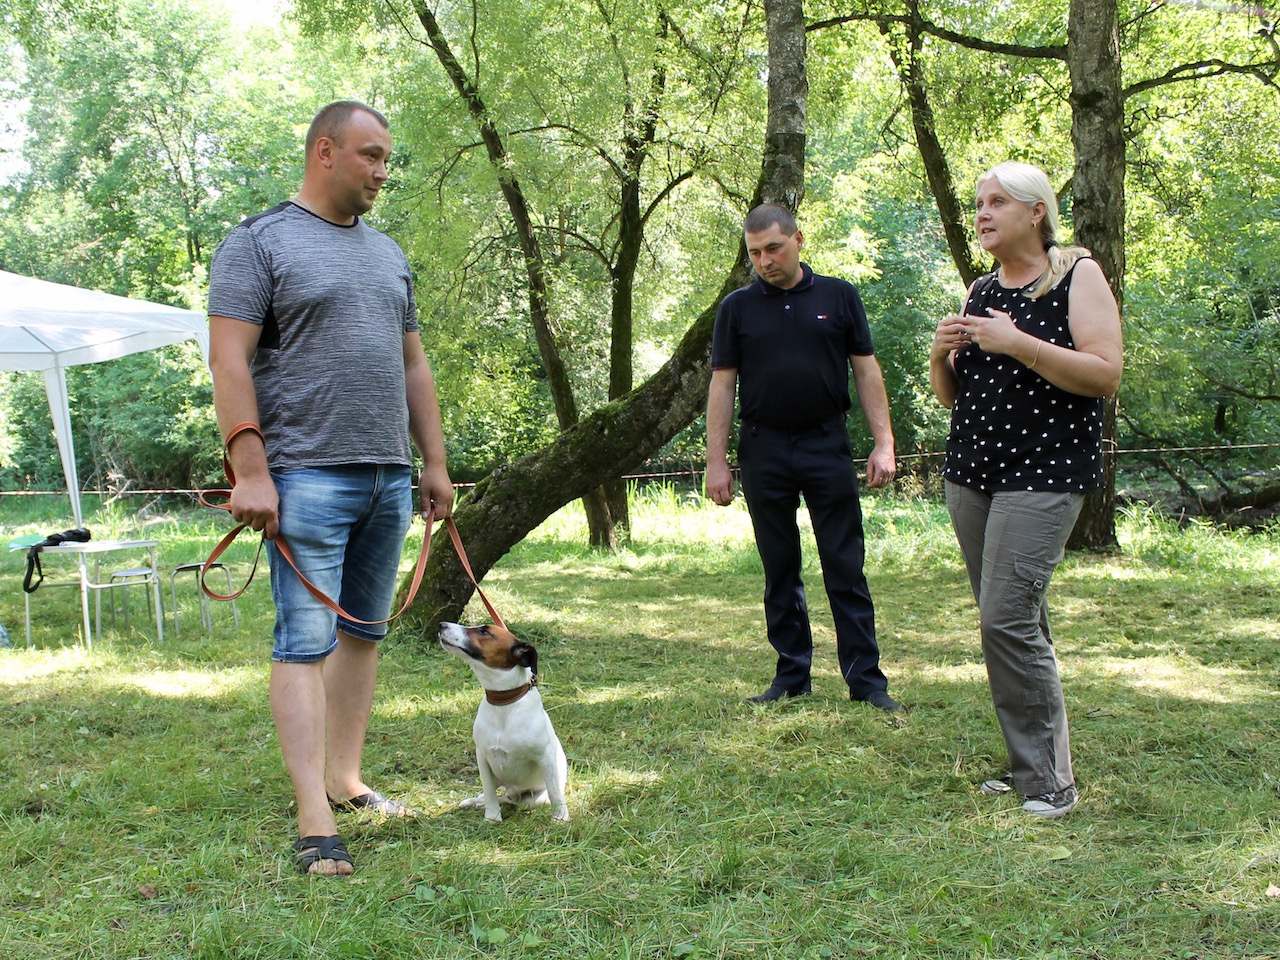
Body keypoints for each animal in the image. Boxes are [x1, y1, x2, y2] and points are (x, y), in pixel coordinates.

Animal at [438, 621, 570, 823]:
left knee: (513, 801)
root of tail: (514, 792)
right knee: (496, 795)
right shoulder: (483, 757)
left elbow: (555, 792)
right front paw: (492, 817)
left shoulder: (545, 757)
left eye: (484, 631)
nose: (442, 624)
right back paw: (477, 801)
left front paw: (560, 816)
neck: (504, 704)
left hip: (534, 798)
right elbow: (489, 792)